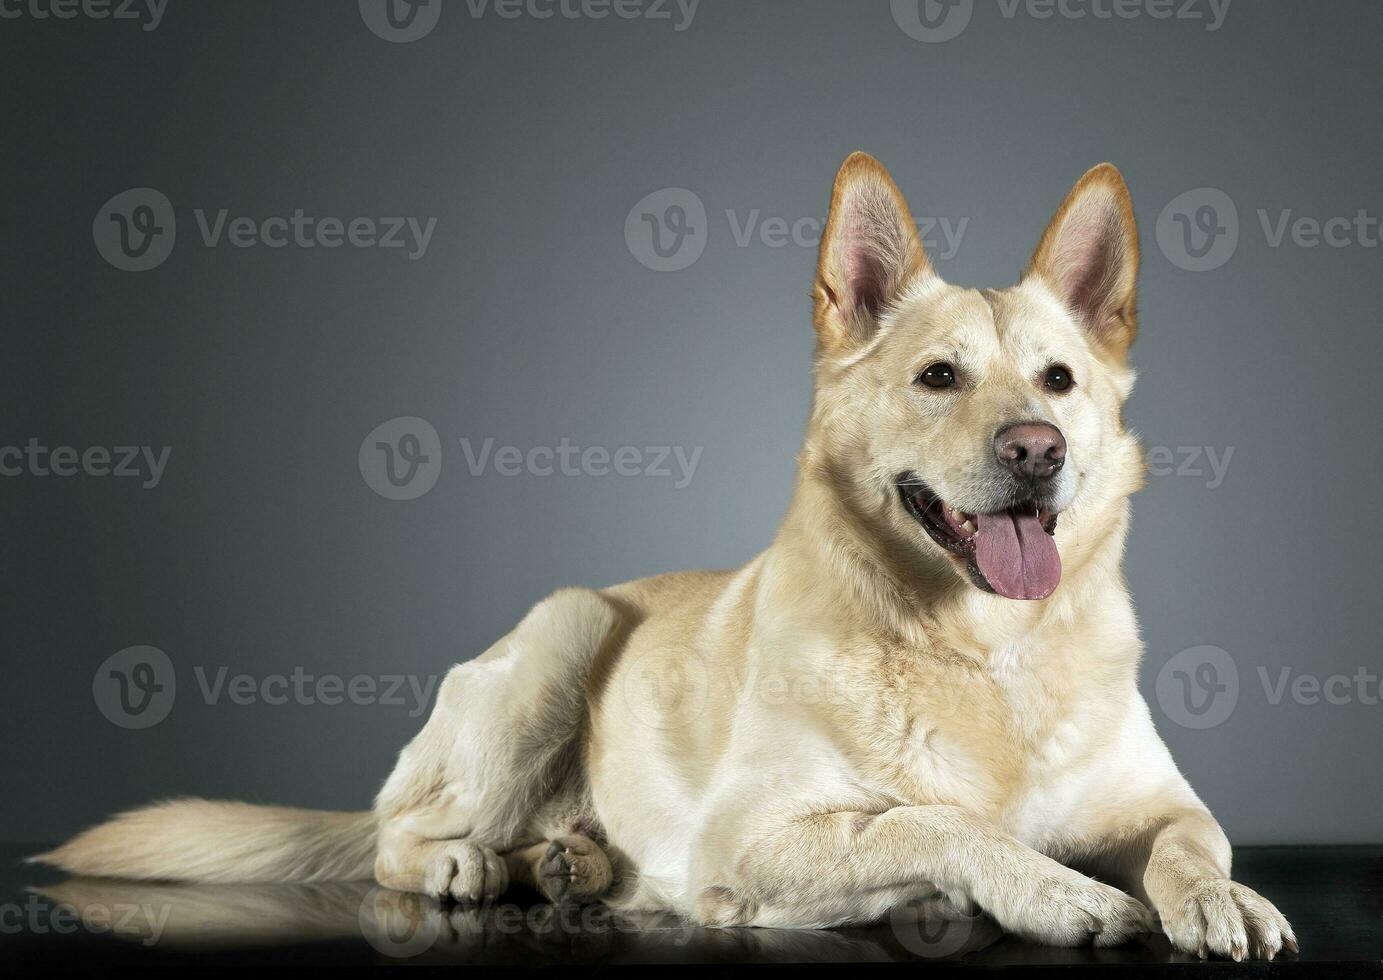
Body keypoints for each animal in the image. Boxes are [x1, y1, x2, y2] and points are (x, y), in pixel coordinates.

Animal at [43, 156, 1294, 962]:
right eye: (939, 376)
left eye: (1059, 381)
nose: (1036, 449)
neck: (985, 652)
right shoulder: (752, 835)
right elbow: (929, 821)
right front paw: (1053, 891)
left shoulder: (1155, 799)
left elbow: (1195, 836)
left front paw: (1224, 897)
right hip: (566, 628)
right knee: (398, 832)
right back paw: (469, 862)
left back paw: (574, 863)